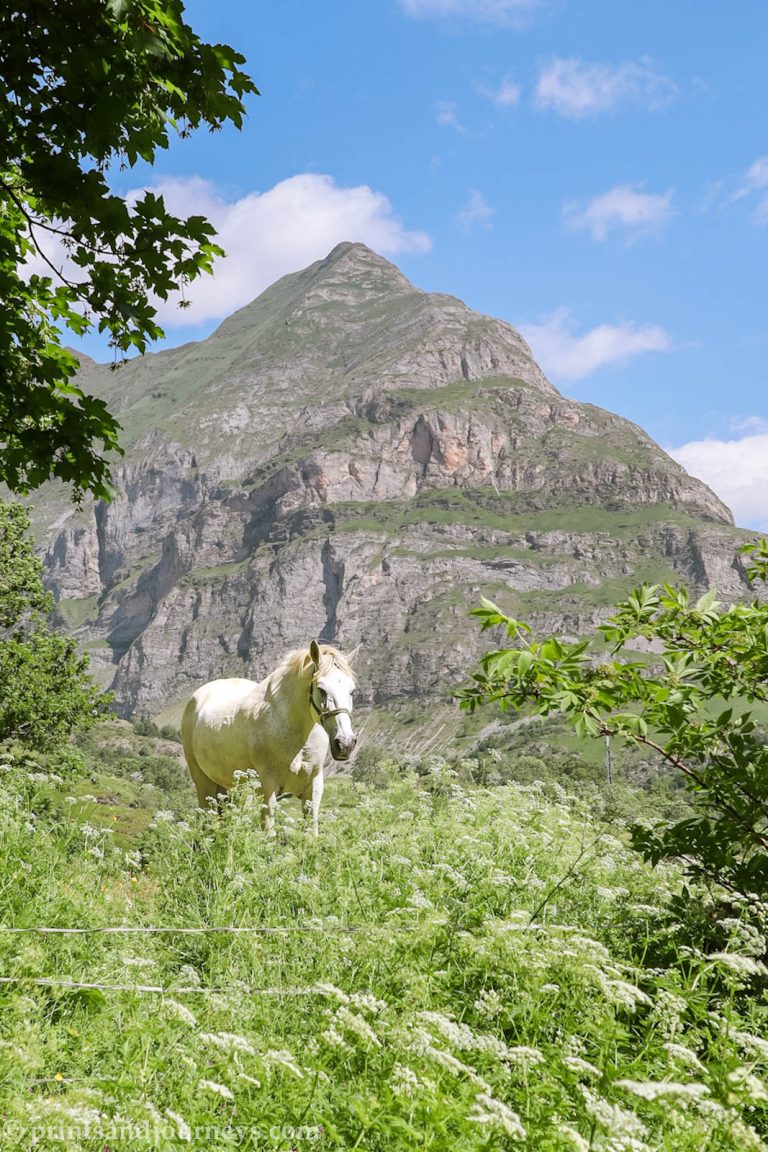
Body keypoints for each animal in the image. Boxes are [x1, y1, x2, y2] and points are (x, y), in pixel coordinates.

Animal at [181, 641, 357, 836]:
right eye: (321, 689)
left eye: (352, 691)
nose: (345, 744)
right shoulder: (267, 789)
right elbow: (269, 834)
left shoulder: (314, 787)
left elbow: (311, 833)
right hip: (204, 783)